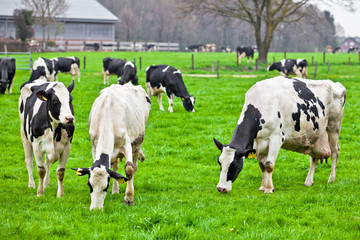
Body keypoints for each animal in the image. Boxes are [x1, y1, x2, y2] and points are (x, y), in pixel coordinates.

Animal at [214, 76, 346, 194]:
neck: (261, 104)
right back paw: (308, 181)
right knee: (314, 158)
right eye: (220, 162)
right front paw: (263, 186)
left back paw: (331, 179)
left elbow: (269, 165)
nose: (221, 188)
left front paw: (269, 189)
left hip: (334, 126)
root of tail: (335, 83)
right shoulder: (258, 142)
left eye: (233, 165)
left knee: (335, 153)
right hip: (315, 135)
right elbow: (262, 165)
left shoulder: (276, 138)